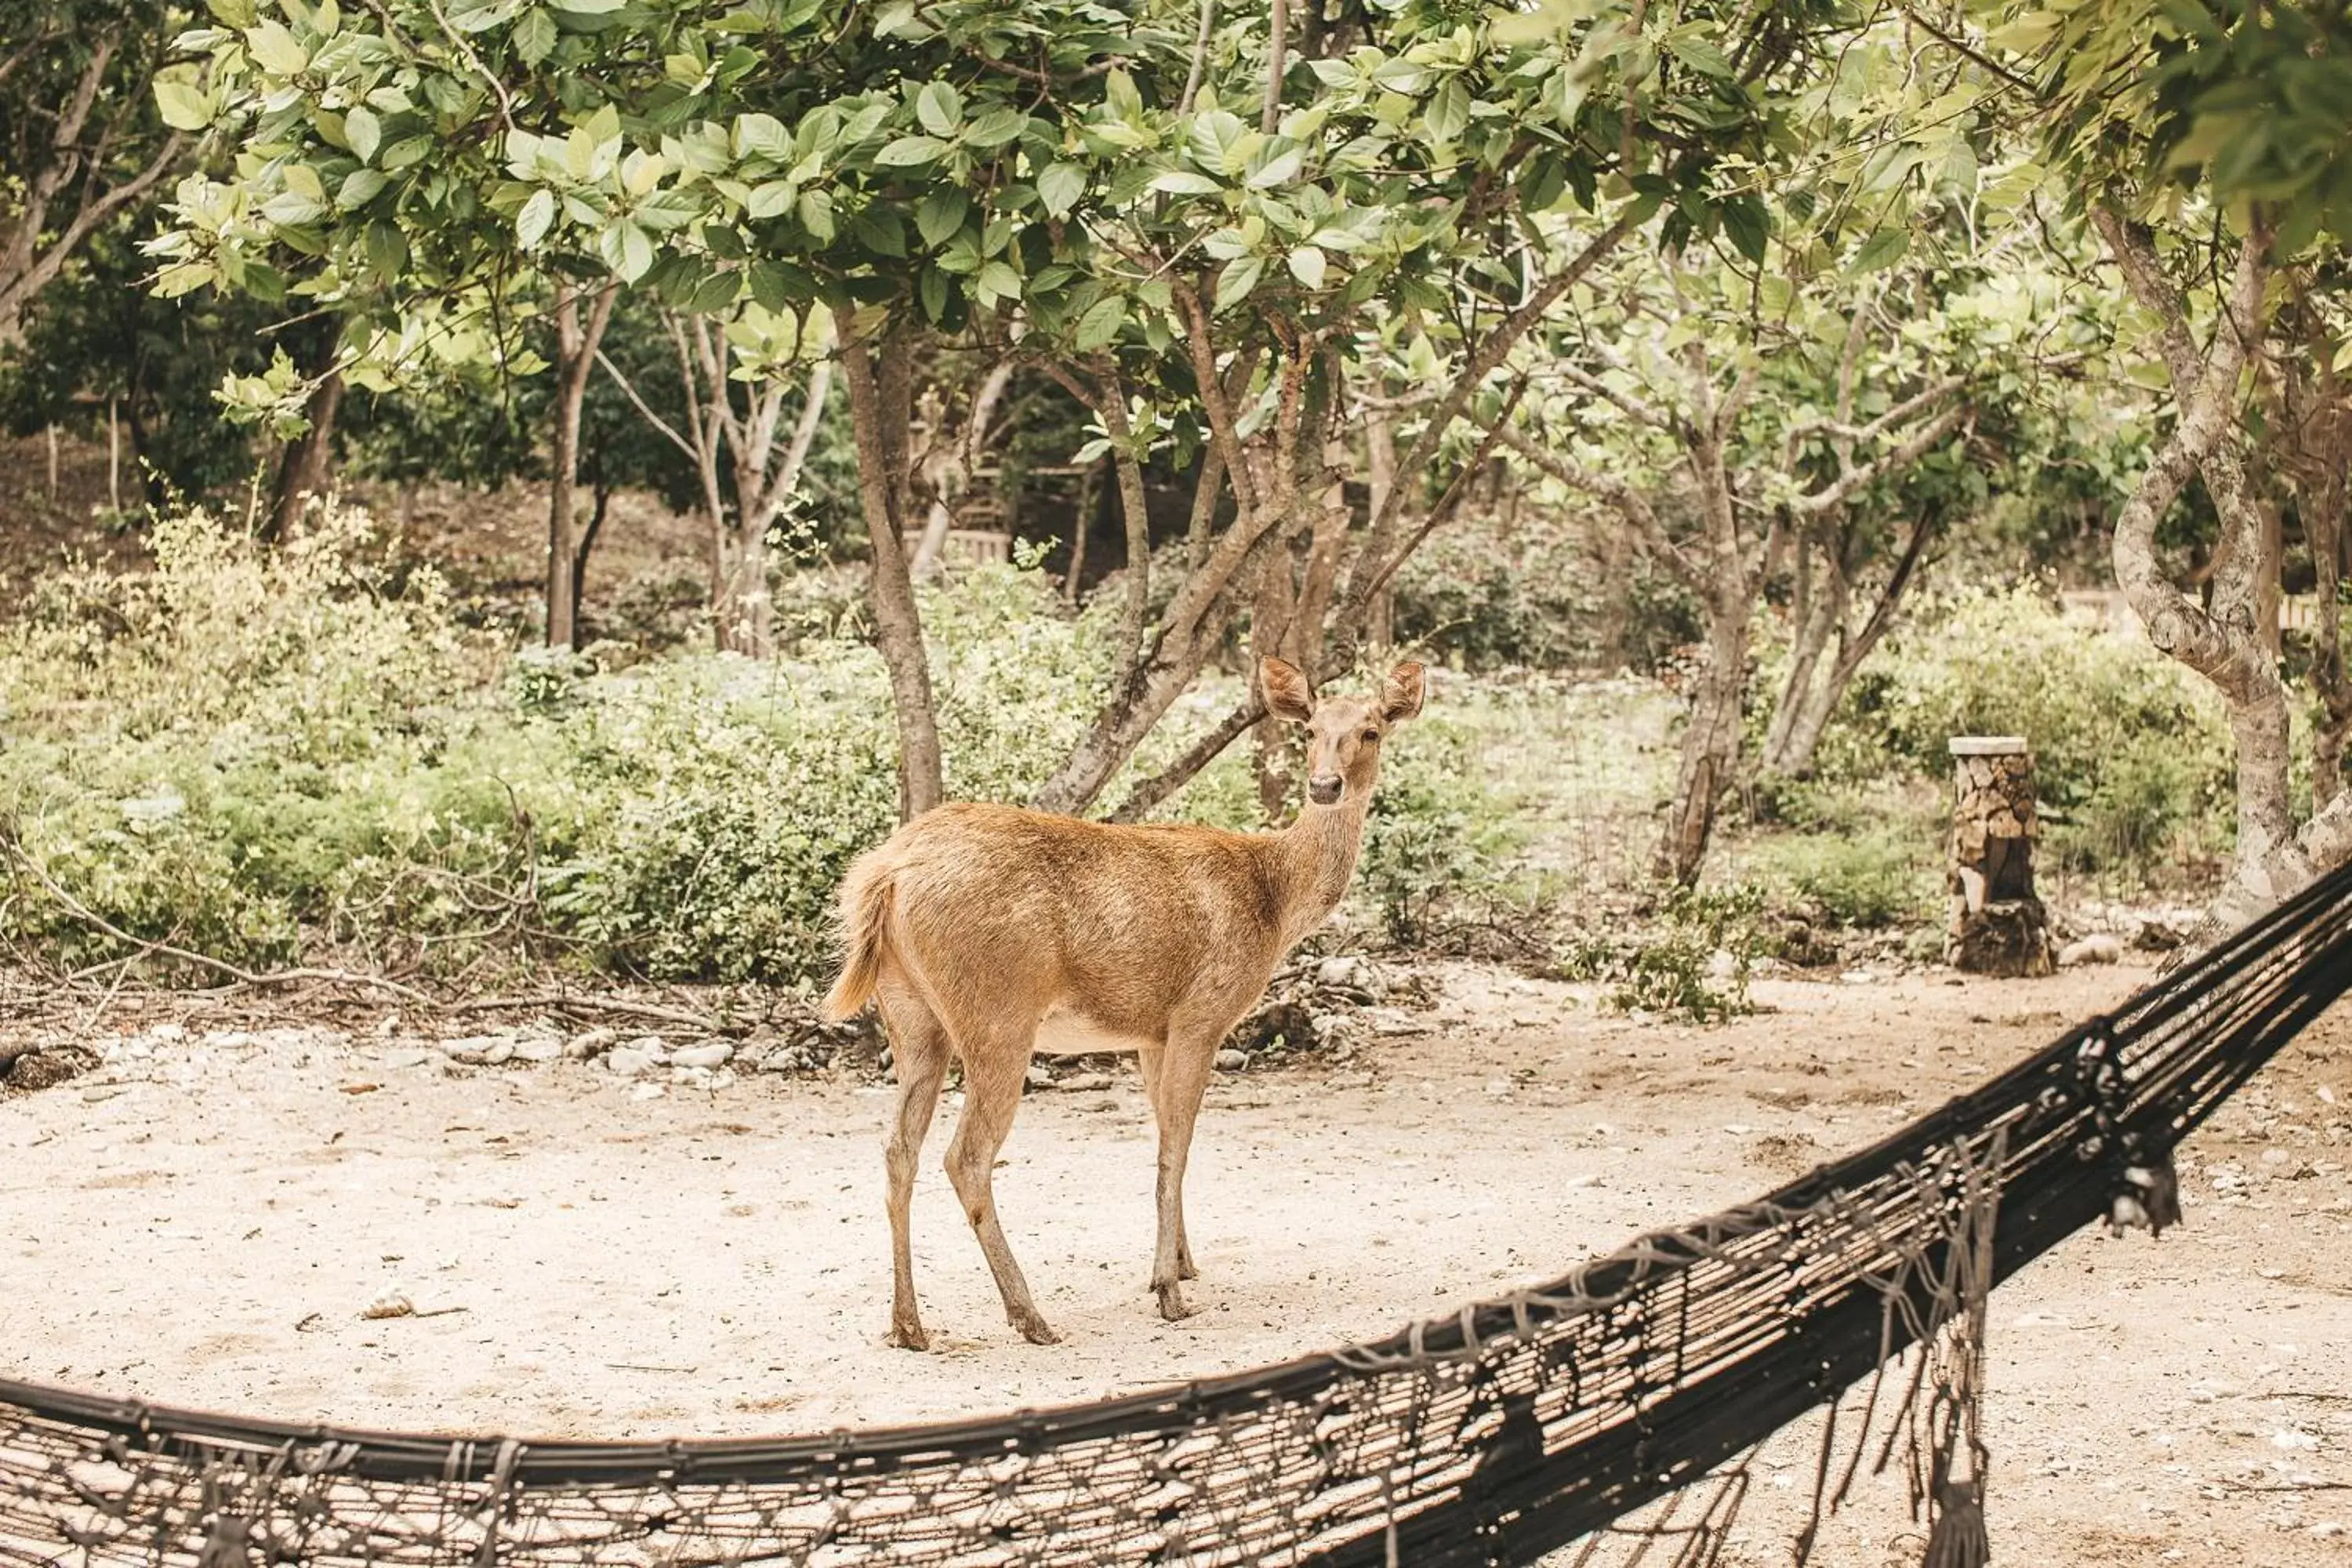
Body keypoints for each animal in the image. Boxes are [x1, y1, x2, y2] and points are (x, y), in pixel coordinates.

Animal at [818, 653, 1421, 1354]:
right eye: (1312, 730)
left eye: (1371, 730)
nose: (1325, 785)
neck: (1274, 903)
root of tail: (883, 878)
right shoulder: (1201, 1013)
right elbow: (1175, 1146)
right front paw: (1168, 1291)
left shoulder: (1151, 1033)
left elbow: (1164, 1135)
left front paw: (1184, 1263)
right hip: (997, 1013)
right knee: (965, 1156)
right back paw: (1029, 1315)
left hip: (912, 1018)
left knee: (898, 1151)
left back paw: (908, 1325)